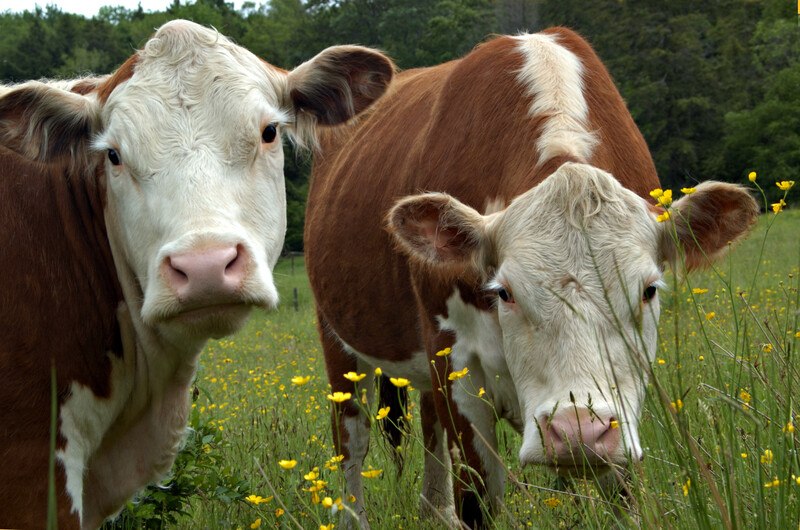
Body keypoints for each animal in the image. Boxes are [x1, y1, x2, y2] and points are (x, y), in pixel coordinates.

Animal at [304, 26, 756, 524]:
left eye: (649, 290)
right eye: (504, 293)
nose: (576, 430)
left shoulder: (619, 417)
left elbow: (624, 497)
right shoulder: (456, 367)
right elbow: (478, 498)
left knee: (428, 428)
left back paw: (435, 511)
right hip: (339, 343)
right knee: (353, 444)